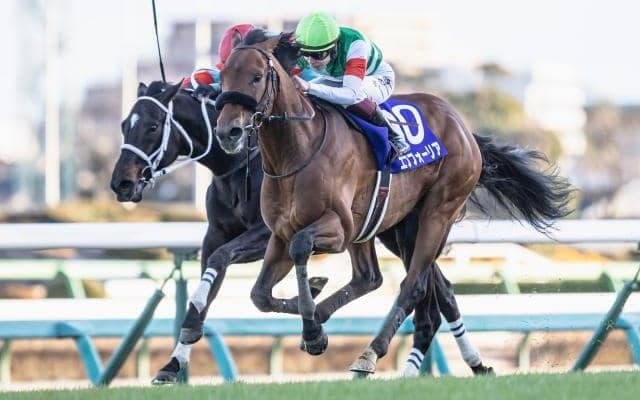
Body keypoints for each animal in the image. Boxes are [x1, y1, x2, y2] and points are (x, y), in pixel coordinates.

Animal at [110, 80, 494, 383]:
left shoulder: (266, 234)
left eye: (153, 126)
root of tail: (463, 130)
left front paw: (310, 299)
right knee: (418, 286)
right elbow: (207, 286)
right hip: (390, 226)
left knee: (417, 285)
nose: (121, 183)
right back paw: (470, 363)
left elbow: (221, 262)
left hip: (420, 220)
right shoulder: (217, 234)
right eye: (124, 125)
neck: (241, 162)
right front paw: (173, 363)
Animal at [214, 30, 572, 375]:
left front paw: (313, 325)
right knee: (379, 279)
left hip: (436, 214)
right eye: (224, 76)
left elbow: (301, 246)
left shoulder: (338, 228)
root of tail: (464, 129)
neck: (297, 151)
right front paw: (313, 313)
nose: (228, 131)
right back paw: (471, 362)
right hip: (393, 227)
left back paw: (370, 353)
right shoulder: (280, 233)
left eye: (257, 77)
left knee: (412, 285)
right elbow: (260, 295)